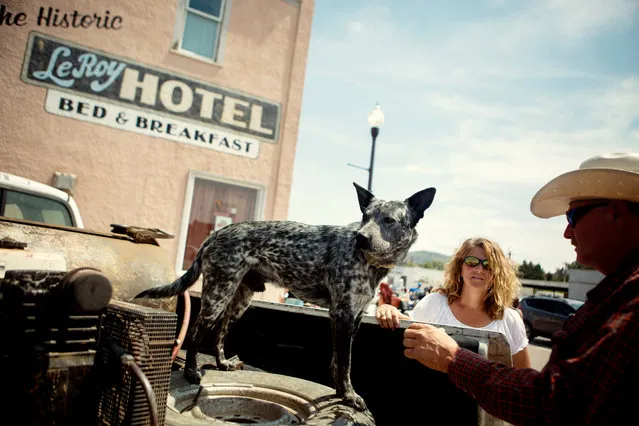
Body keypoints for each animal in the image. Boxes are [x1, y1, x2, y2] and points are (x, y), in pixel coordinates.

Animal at [135, 182, 436, 410]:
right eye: (365, 217)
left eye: (389, 220)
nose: (360, 237)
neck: (369, 263)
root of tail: (217, 232)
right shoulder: (343, 314)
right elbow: (345, 364)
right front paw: (349, 396)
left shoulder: (354, 316)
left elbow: (338, 361)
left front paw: (340, 393)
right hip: (218, 294)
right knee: (197, 332)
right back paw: (191, 372)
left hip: (240, 300)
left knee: (220, 333)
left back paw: (222, 363)